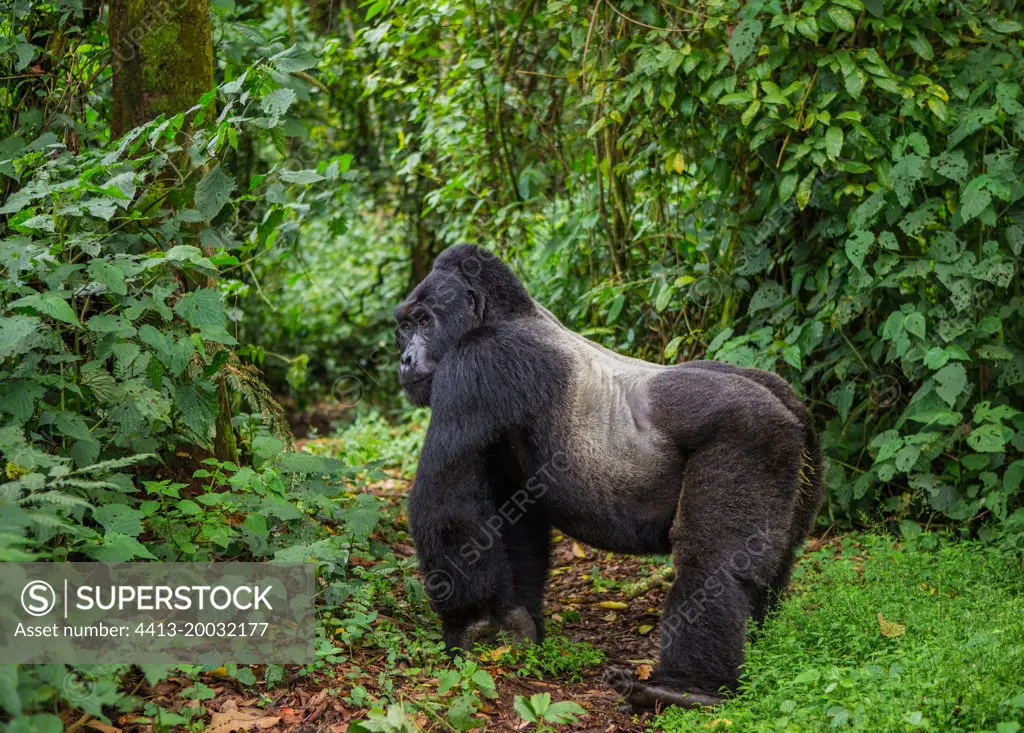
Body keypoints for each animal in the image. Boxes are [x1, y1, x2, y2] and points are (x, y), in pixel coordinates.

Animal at [393, 244, 823, 708]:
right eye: (404, 326)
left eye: (424, 322)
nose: (404, 359)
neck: (503, 314)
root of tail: (790, 408)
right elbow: (514, 520)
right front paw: (519, 620)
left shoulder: (479, 363)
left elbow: (447, 504)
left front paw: (472, 622)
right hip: (801, 456)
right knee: (775, 560)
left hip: (753, 434)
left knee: (711, 564)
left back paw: (685, 690)